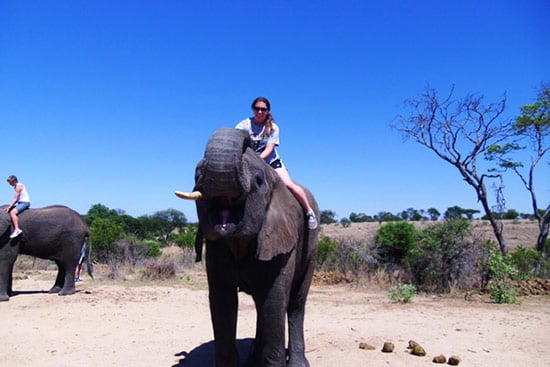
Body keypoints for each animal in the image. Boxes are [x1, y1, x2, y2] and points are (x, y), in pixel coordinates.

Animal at [177, 128, 322, 366]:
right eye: (196, 176)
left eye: (259, 180)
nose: (249, 137)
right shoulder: (216, 246)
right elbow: (222, 301)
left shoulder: (282, 238)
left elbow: (274, 300)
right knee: (260, 307)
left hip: (311, 248)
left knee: (295, 303)